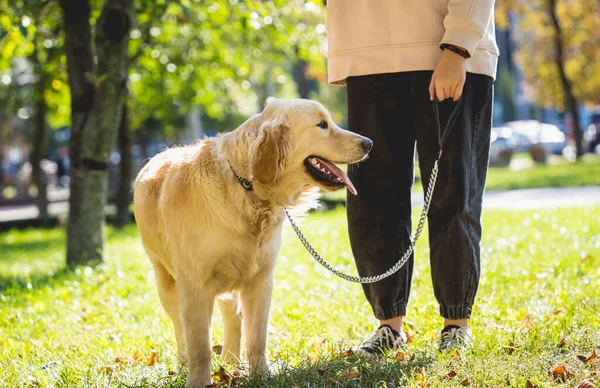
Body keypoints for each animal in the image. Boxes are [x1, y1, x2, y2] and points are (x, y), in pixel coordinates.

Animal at [134, 98, 372, 386]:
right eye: (322, 124)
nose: (369, 143)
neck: (245, 187)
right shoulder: (195, 286)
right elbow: (199, 345)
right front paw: (198, 380)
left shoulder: (260, 279)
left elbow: (257, 335)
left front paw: (262, 375)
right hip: (166, 283)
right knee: (180, 328)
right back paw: (184, 366)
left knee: (233, 320)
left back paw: (230, 363)